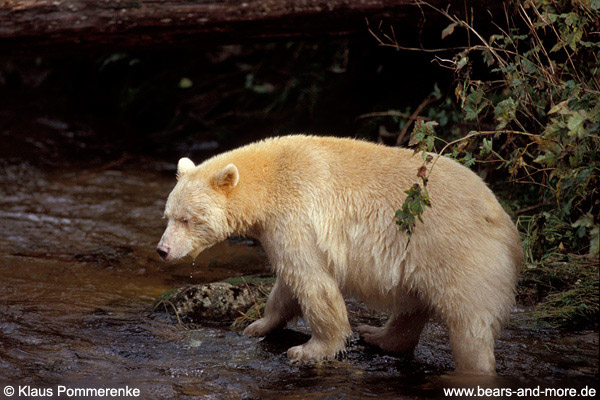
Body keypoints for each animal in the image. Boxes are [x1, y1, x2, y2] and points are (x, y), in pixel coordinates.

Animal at [157, 135, 524, 376]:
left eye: (187, 219)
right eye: (168, 216)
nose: (162, 250)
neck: (268, 180)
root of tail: (507, 227)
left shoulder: (294, 214)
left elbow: (311, 282)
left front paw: (308, 350)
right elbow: (288, 285)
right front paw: (256, 325)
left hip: (457, 252)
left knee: (468, 324)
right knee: (413, 302)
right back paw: (378, 336)